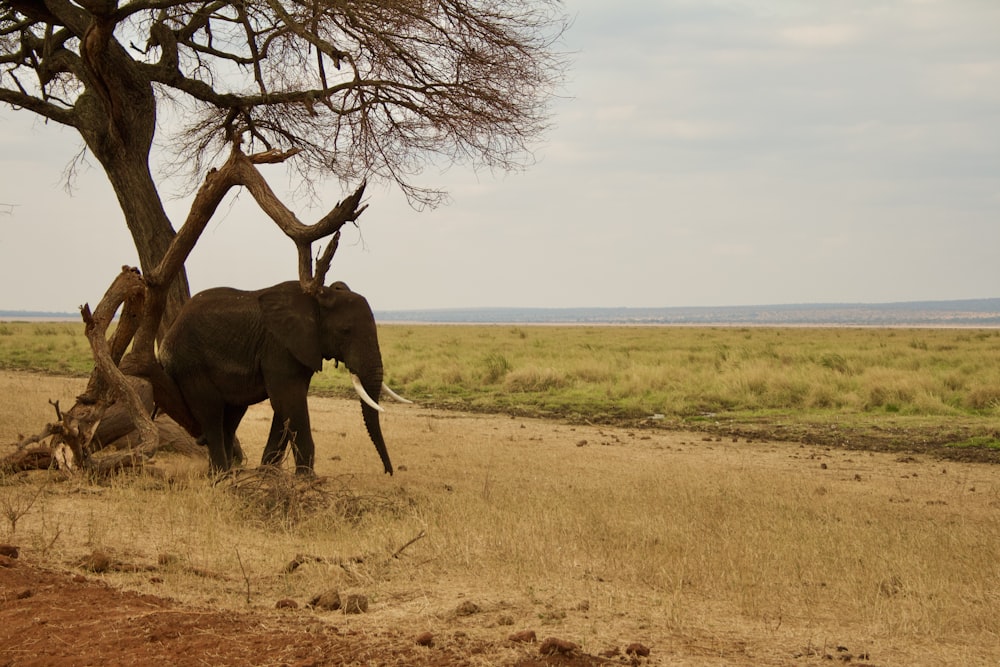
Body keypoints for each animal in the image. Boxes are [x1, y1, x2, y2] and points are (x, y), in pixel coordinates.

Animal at [157, 280, 406, 474]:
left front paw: (267, 474)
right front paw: (307, 479)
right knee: (212, 414)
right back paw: (222, 476)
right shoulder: (279, 346)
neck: (320, 294)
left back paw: (226, 473)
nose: (388, 471)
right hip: (189, 363)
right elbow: (290, 401)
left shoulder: (301, 348)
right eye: (345, 331)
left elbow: (286, 406)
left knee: (231, 416)